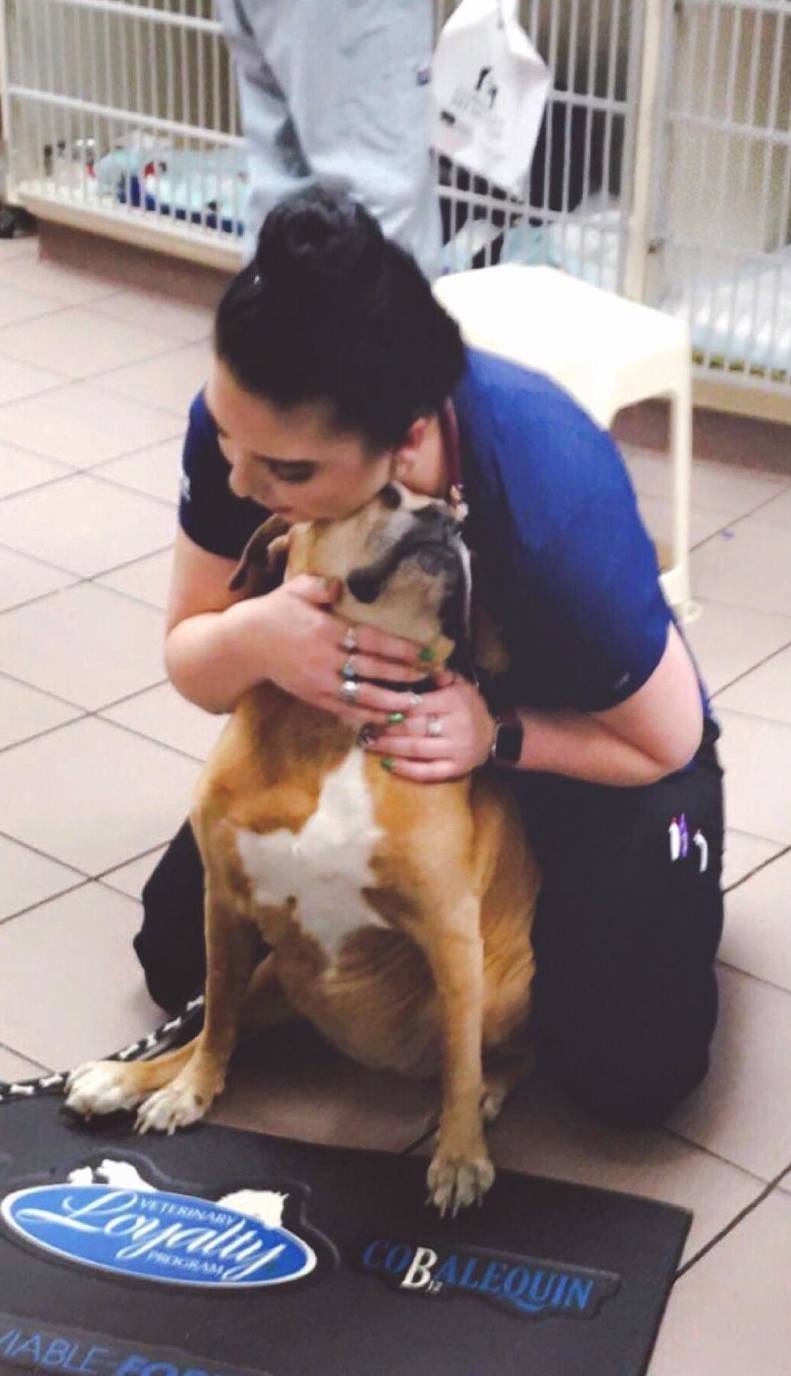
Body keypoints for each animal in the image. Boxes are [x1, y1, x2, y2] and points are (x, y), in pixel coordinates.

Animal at [68, 481, 542, 1216]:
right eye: (383, 493)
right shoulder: (225, 903)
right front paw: (188, 1090)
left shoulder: (451, 933)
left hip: (501, 986)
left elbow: (461, 1065)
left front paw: (461, 1154)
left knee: (492, 1056)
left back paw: (490, 1091)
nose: (443, 519)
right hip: (274, 972)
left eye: (463, 516)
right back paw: (124, 1079)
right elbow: (216, 1017)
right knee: (222, 1023)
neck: (339, 724)